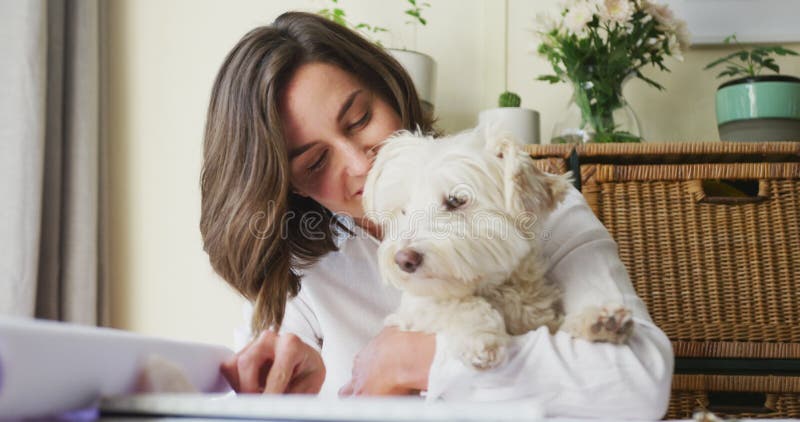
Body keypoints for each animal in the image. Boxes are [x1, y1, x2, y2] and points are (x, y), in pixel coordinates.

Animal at [366, 129, 636, 370]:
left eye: (455, 201)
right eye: (403, 210)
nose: (403, 259)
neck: (499, 289)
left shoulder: (542, 320)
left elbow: (559, 326)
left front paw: (598, 321)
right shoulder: (410, 314)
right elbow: (455, 304)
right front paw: (479, 336)